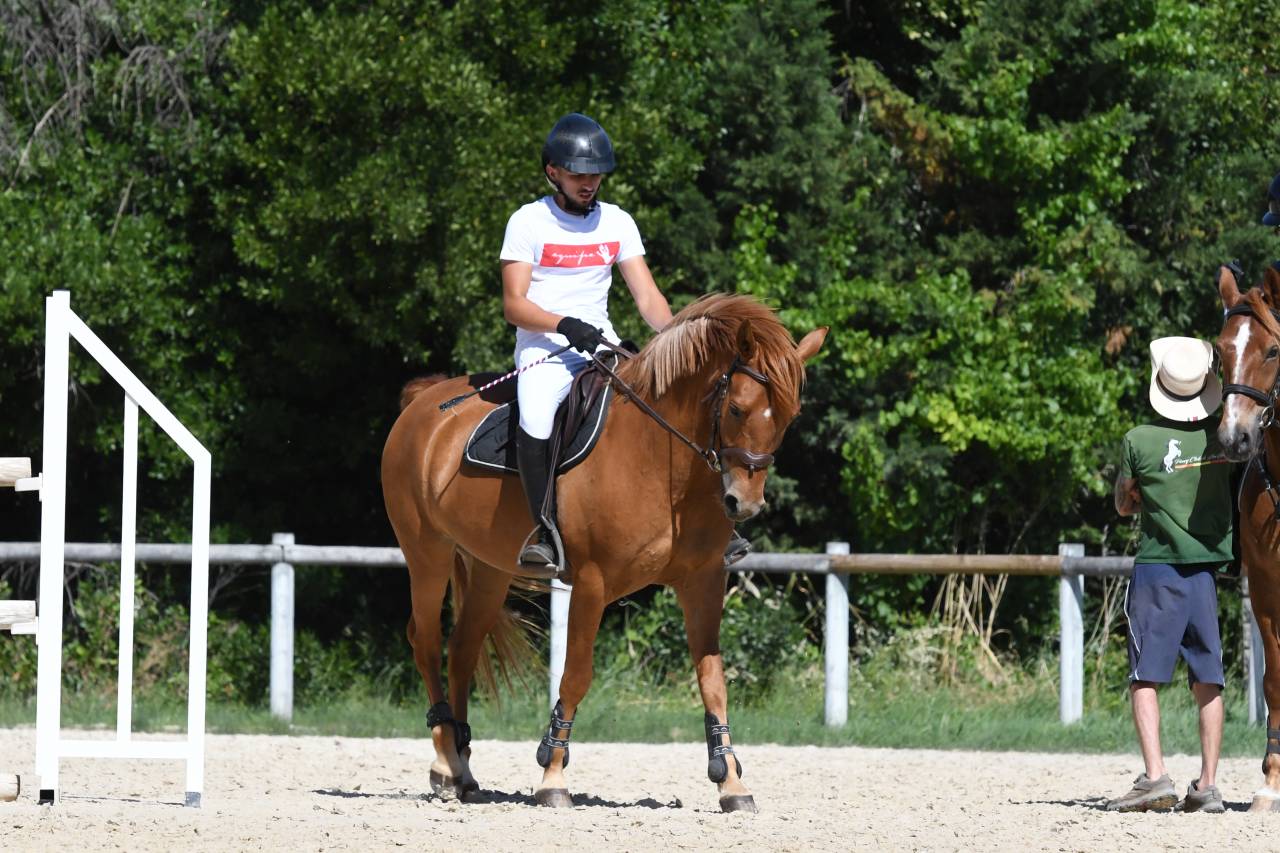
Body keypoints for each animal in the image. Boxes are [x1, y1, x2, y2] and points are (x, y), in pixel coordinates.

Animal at [381, 293, 827, 812]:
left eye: (790, 417)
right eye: (736, 409)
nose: (744, 503)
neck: (662, 459)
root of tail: (425, 400)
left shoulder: (703, 582)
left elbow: (713, 680)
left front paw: (731, 783)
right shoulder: (593, 582)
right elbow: (576, 674)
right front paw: (552, 776)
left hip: (490, 568)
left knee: (462, 648)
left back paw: (462, 770)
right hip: (427, 552)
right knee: (427, 641)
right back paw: (444, 763)